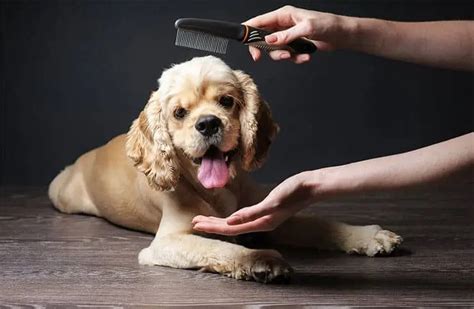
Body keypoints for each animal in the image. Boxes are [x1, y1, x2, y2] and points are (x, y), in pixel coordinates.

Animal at [48, 54, 402, 282]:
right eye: (179, 112)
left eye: (227, 101)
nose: (208, 123)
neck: (221, 192)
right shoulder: (166, 243)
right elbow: (218, 246)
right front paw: (259, 260)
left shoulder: (263, 213)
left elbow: (318, 224)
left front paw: (367, 236)